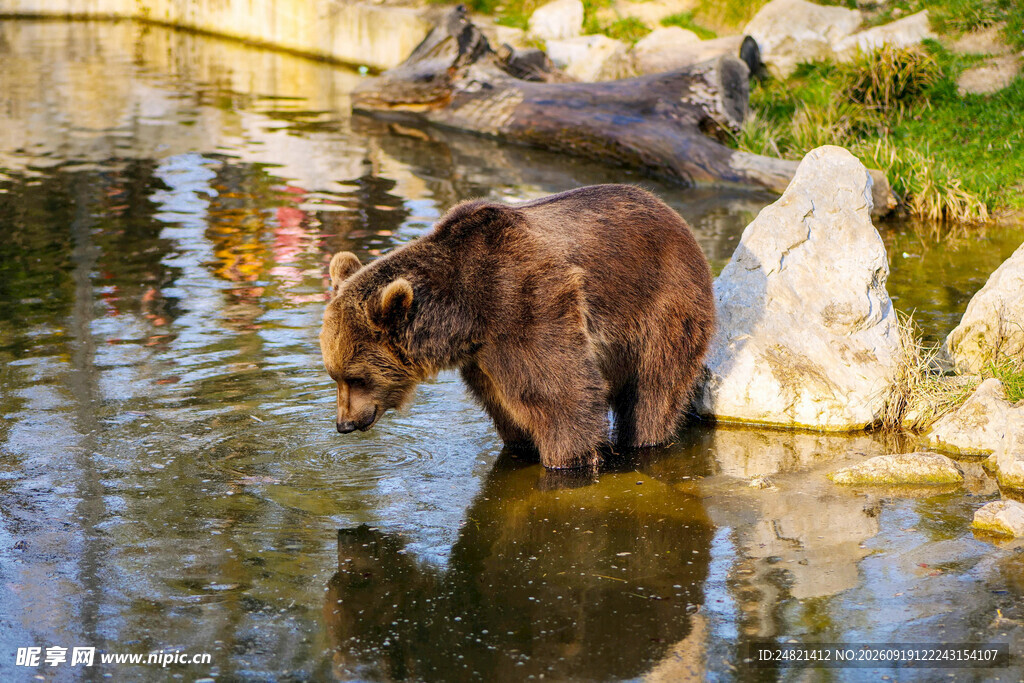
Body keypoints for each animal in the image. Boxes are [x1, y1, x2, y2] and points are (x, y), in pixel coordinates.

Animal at [320, 184, 715, 469]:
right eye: (335, 376)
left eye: (356, 377)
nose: (344, 424)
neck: (463, 314)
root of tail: (670, 211)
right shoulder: (481, 354)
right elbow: (505, 403)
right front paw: (522, 445)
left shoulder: (524, 302)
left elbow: (559, 393)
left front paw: (570, 457)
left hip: (660, 303)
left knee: (654, 386)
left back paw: (645, 437)